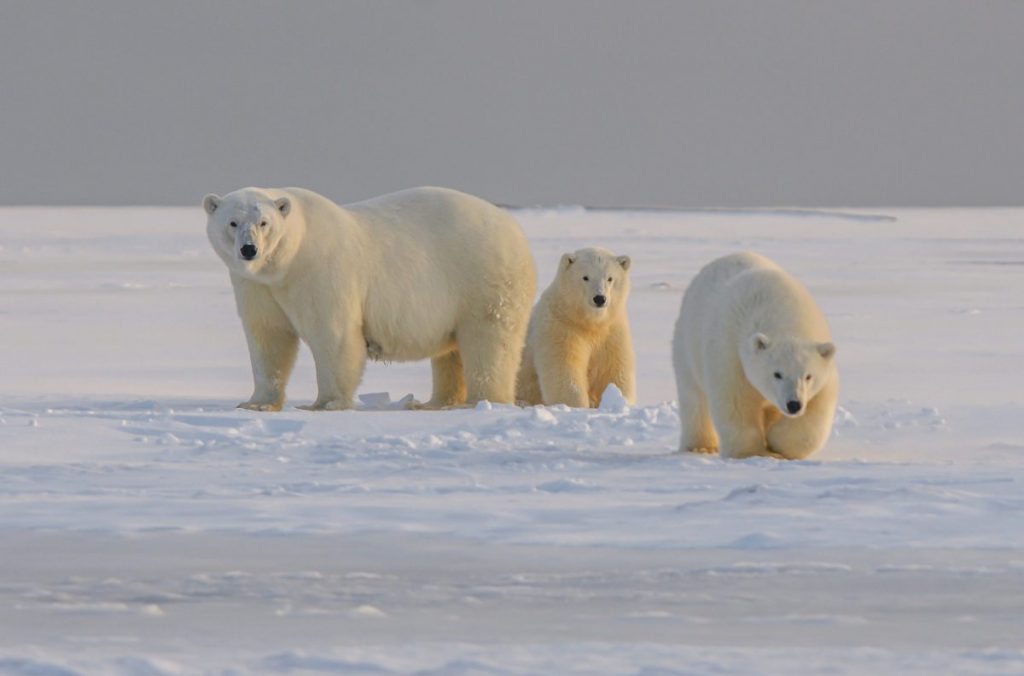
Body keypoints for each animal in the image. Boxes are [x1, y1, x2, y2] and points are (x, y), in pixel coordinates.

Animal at [203, 186, 537, 411]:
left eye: (264, 223)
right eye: (232, 222)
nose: (249, 249)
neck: (288, 261)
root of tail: (514, 228)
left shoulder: (320, 271)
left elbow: (333, 335)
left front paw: (325, 404)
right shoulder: (257, 286)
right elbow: (268, 337)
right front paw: (256, 403)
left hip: (482, 278)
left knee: (489, 341)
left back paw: (483, 400)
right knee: (451, 352)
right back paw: (435, 402)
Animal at [515, 247, 635, 407]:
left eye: (610, 278)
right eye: (585, 277)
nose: (599, 298)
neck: (588, 322)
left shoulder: (612, 330)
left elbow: (613, 369)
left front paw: (620, 400)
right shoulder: (561, 326)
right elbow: (565, 369)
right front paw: (577, 405)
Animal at [671, 252, 838, 460]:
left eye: (808, 376)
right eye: (777, 374)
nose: (794, 404)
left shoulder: (823, 369)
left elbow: (816, 410)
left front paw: (776, 443)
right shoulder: (730, 353)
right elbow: (736, 402)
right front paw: (752, 452)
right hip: (687, 344)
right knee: (694, 397)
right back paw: (701, 447)